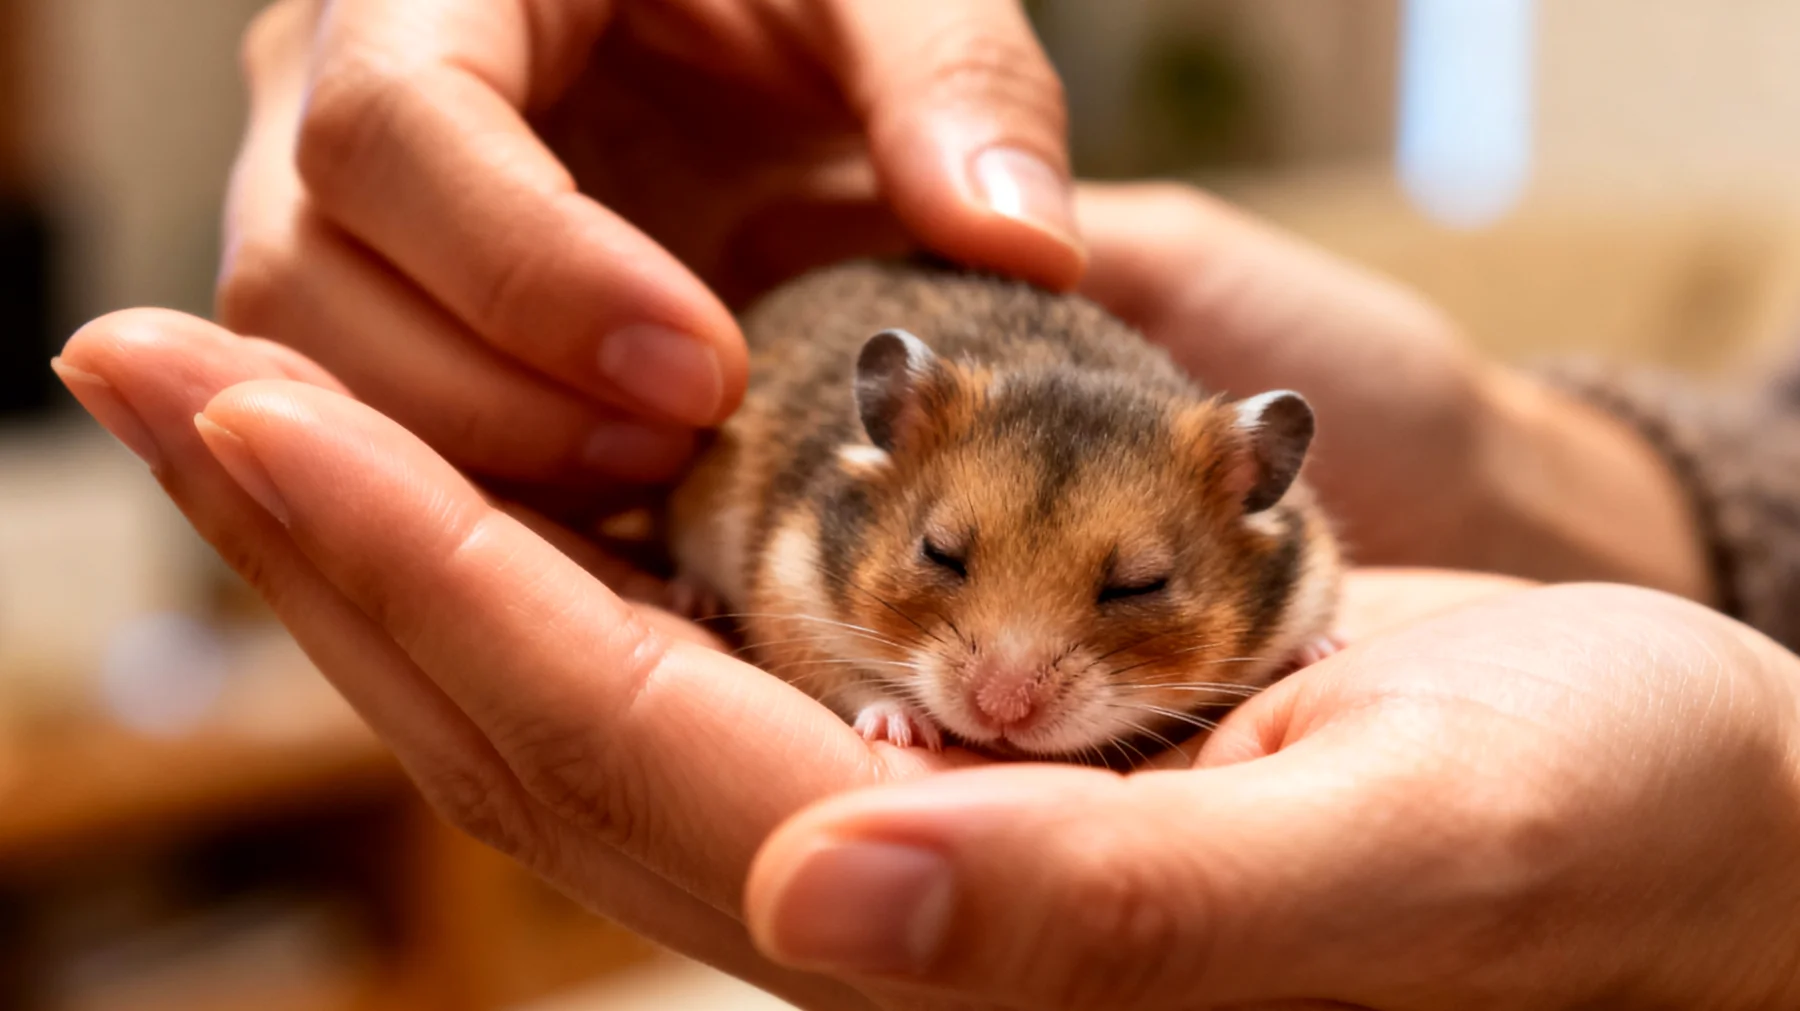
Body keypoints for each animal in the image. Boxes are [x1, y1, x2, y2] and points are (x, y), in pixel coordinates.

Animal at [667, 260, 1342, 762]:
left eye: (1141, 586)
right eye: (938, 552)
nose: (1000, 713)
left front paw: (1322, 650)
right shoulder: (787, 589)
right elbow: (835, 675)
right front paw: (904, 729)